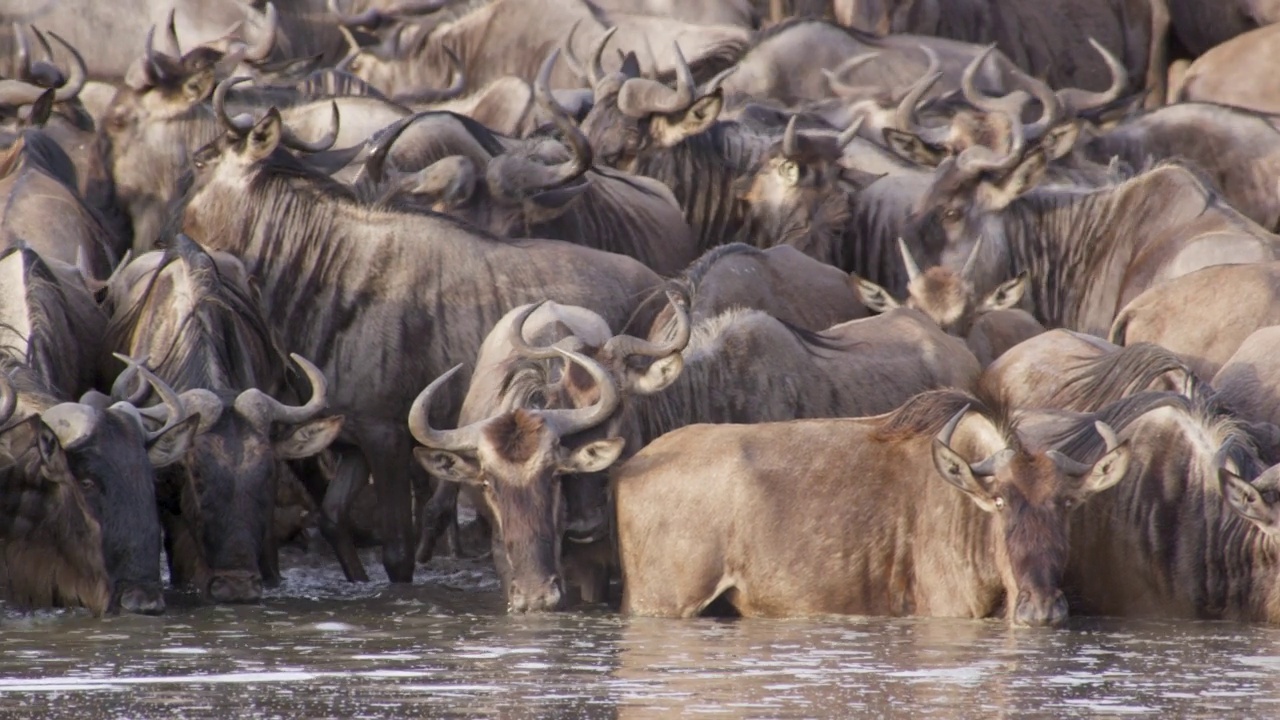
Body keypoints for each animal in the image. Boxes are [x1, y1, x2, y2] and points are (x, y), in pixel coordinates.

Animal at [614, 386, 1126, 622]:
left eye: (1066, 503)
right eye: (999, 500)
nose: (1040, 608)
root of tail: (625, 471)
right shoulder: (946, 609)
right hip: (663, 602)